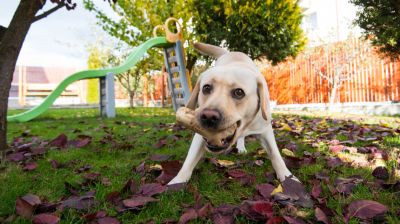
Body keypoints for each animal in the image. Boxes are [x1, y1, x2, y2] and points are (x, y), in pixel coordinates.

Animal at [167, 43, 296, 185]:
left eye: (239, 92)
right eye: (206, 88)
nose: (208, 117)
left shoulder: (265, 129)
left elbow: (275, 154)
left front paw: (289, 178)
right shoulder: (200, 135)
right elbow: (189, 160)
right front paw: (177, 182)